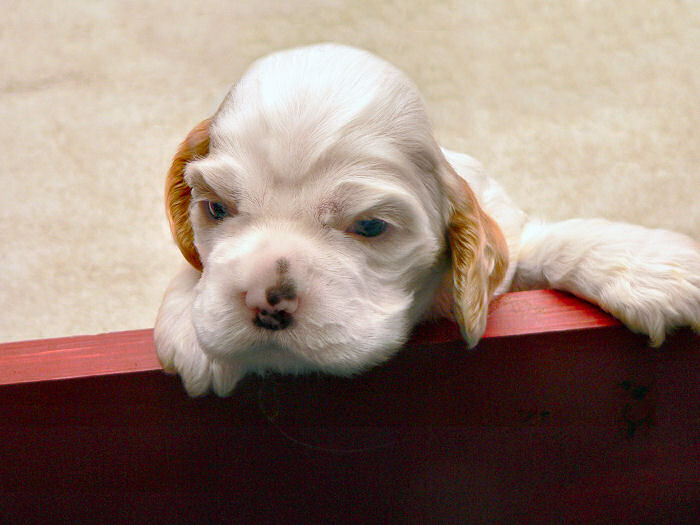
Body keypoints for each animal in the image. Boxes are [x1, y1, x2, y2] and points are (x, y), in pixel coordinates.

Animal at [154, 43, 700, 396]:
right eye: (217, 209)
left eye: (370, 227)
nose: (264, 302)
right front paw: (190, 326)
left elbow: (549, 246)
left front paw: (656, 270)